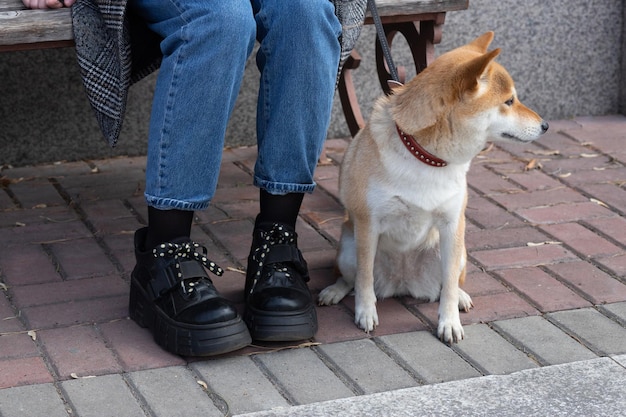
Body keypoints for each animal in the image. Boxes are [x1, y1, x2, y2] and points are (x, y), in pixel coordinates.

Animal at [316, 32, 544, 342]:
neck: (425, 157)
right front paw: (365, 312)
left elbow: (447, 287)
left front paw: (449, 322)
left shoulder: (452, 224)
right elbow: (364, 280)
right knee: (350, 278)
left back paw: (461, 297)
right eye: (509, 100)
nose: (545, 125)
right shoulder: (367, 224)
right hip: (348, 248)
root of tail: (401, 283)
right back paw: (334, 291)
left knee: (449, 283)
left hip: (458, 253)